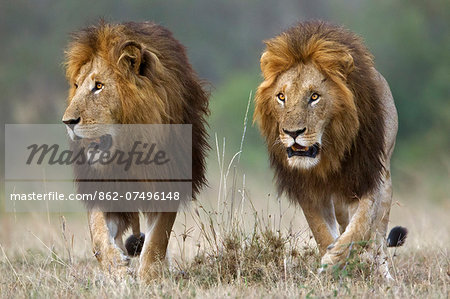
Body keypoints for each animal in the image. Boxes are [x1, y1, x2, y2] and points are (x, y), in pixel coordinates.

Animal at [62, 22, 209, 282]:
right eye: (77, 86)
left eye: (99, 86)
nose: (67, 122)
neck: (128, 150)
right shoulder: (102, 186)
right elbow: (98, 235)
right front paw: (117, 269)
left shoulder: (167, 182)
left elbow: (157, 240)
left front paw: (149, 277)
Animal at [255, 21, 406, 282]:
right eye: (281, 96)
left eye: (314, 96)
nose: (292, 132)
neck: (329, 153)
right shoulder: (309, 190)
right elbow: (322, 233)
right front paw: (330, 267)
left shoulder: (367, 177)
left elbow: (360, 228)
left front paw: (333, 262)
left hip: (384, 182)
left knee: (378, 238)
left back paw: (383, 275)